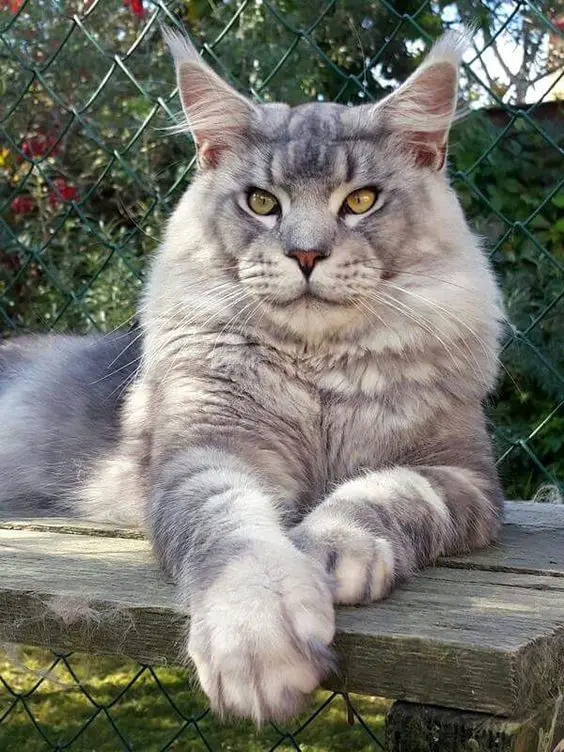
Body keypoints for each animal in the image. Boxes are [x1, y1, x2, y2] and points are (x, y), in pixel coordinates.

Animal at [0, 27, 504, 724]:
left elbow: (388, 492)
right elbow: (234, 529)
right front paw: (258, 636)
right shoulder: (209, 453)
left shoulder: (464, 476)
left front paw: (329, 546)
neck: (319, 371)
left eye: (361, 201)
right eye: (262, 203)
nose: (306, 254)